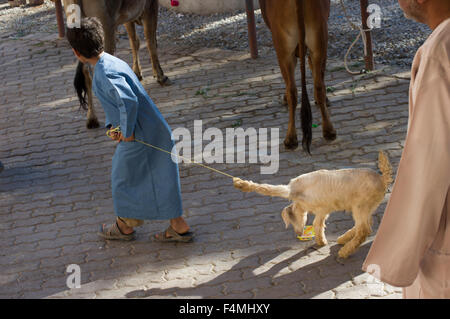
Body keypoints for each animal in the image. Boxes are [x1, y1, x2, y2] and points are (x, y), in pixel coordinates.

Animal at [258, 0, 336, 154]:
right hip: (319, 39)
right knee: (317, 85)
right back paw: (329, 131)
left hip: (284, 49)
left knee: (292, 90)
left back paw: (290, 139)